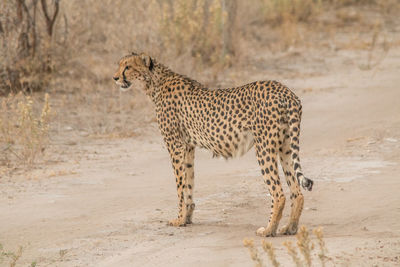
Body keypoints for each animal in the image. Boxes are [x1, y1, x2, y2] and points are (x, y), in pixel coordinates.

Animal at [111, 53, 312, 238]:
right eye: (120, 65)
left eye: (127, 67)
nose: (115, 78)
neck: (155, 82)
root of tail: (285, 91)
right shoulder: (188, 147)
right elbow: (189, 182)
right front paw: (187, 217)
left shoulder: (175, 146)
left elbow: (180, 186)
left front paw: (179, 219)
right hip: (285, 147)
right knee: (297, 191)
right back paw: (290, 228)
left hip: (264, 147)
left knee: (279, 194)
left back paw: (269, 230)